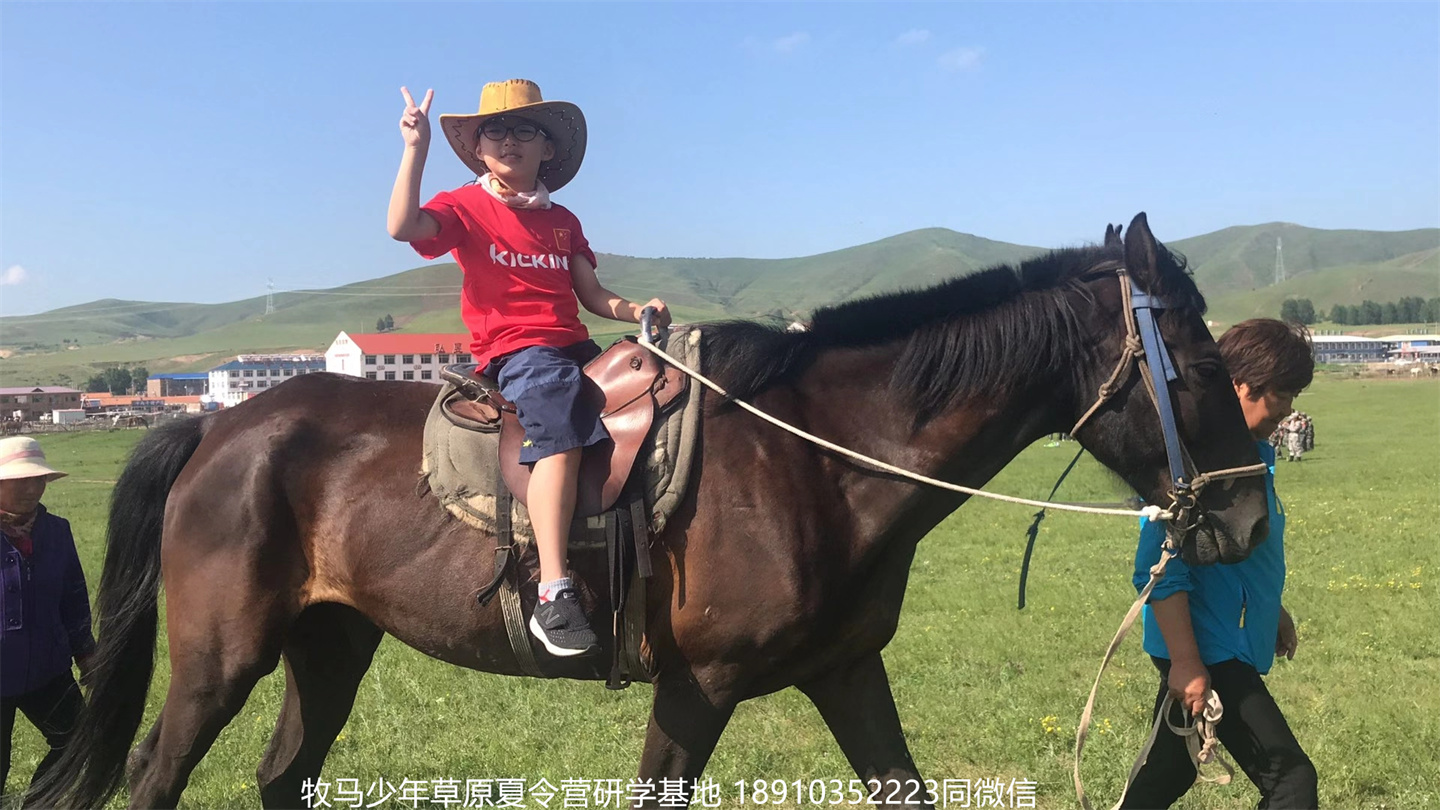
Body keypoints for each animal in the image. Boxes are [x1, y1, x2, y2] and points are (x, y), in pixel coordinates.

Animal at [36, 214, 1272, 807]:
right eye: (1208, 367)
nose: (1250, 521)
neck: (817, 457)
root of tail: (221, 427)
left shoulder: (845, 672)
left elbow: (905, 789)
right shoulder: (699, 685)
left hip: (330, 643)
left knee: (282, 777)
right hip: (220, 657)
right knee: (154, 775)